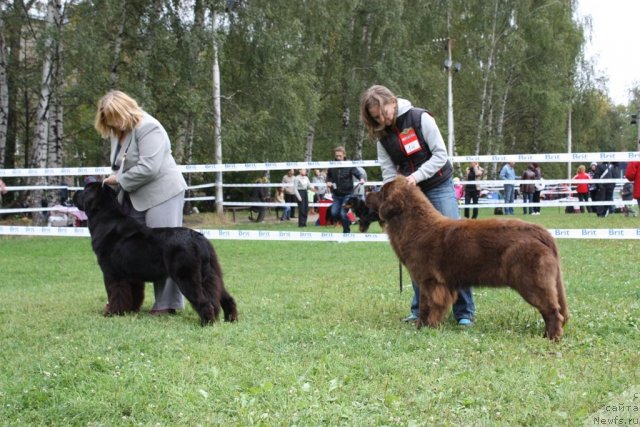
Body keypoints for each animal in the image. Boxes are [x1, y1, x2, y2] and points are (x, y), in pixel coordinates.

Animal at [73, 182, 238, 326]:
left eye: (84, 189)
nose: (73, 194)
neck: (106, 220)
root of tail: (199, 238)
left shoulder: (113, 274)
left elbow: (116, 294)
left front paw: (112, 313)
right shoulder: (132, 276)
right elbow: (133, 294)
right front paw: (130, 310)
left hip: (187, 276)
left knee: (204, 301)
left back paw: (207, 323)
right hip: (211, 273)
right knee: (225, 296)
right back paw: (231, 319)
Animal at [370, 175, 568, 342]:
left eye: (381, 192)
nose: (367, 194)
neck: (414, 226)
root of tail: (540, 231)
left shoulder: (429, 281)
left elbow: (427, 305)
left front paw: (423, 326)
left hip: (531, 281)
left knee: (552, 311)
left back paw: (552, 337)